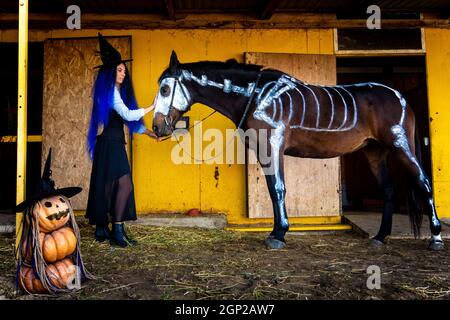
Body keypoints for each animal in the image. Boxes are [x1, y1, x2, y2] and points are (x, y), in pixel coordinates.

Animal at [150, 50, 442, 250]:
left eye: (165, 88)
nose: (156, 127)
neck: (257, 95)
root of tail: (400, 97)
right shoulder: (264, 150)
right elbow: (273, 190)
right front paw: (276, 232)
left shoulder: (272, 146)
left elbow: (278, 189)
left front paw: (278, 235)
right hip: (375, 152)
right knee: (389, 190)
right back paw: (380, 237)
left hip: (400, 146)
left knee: (424, 183)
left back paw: (436, 238)